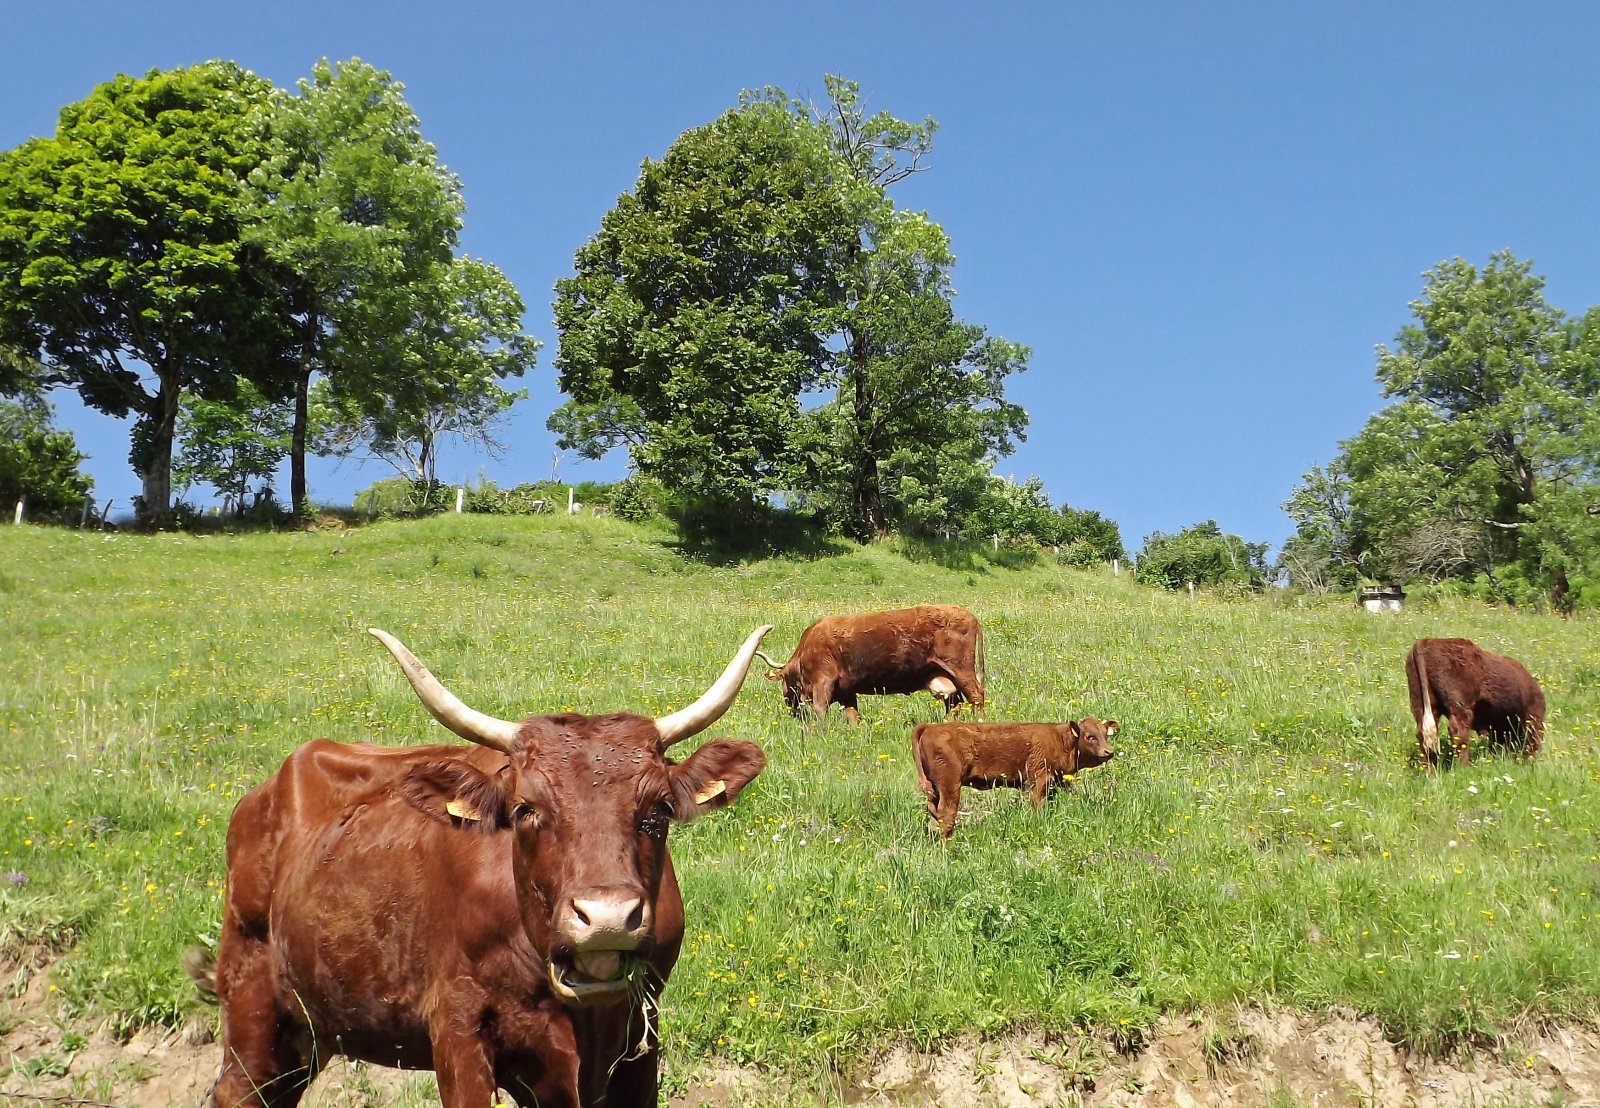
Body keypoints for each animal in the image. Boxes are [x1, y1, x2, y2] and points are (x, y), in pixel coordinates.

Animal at [187, 627, 774, 1101]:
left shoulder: (638, 1035)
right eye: (525, 809)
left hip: (309, 1032)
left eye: (658, 810)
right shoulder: (458, 1030)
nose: (606, 919)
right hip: (253, 1016)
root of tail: (261, 793)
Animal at [752, 605, 985, 726]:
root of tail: (968, 614)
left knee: (976, 697)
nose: (790, 709)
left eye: (783, 683)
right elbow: (852, 716)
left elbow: (820, 710)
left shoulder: (822, 682)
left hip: (961, 669)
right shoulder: (846, 692)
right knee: (955, 703)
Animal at [908, 717, 1120, 839]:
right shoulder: (1037, 780)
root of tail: (931, 727)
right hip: (950, 786)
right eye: (1089, 736)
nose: (1108, 751)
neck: (1061, 740)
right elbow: (1037, 806)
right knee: (946, 815)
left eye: (1105, 734)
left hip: (935, 790)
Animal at [1408, 637, 1542, 765]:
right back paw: (1464, 767)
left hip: (1421, 704)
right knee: (1458, 733)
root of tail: (1426, 641)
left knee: (1423, 735)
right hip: (1460, 708)